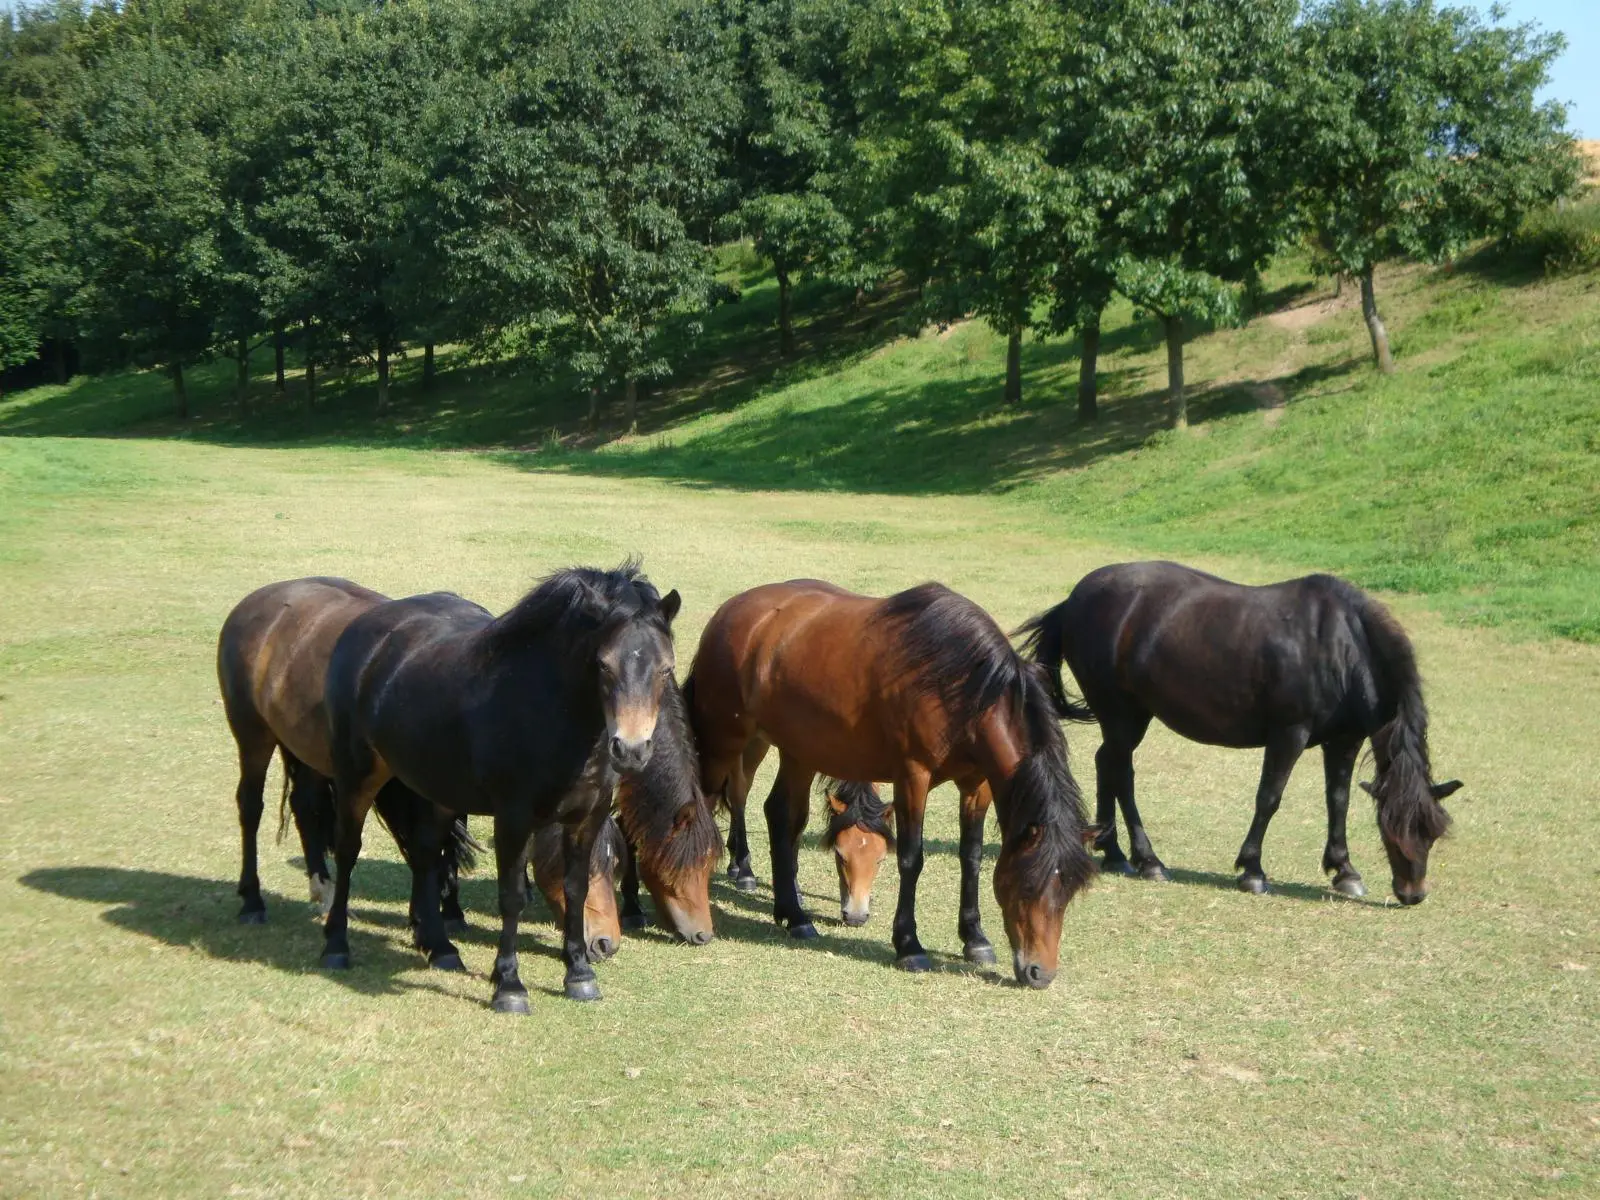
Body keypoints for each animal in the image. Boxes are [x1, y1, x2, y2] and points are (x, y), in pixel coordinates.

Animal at [217, 577, 626, 961]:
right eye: (594, 864)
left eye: (616, 863)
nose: (605, 943)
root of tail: (259, 600)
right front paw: (431, 924)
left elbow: (434, 846)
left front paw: (437, 918)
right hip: (254, 736)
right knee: (251, 806)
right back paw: (253, 901)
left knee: (305, 806)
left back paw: (323, 890)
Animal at [321, 564, 721, 1010]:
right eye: (603, 665)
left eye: (666, 669)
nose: (631, 749)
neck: (553, 716)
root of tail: (363, 626)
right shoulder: (513, 819)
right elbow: (512, 896)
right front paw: (509, 986)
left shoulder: (587, 816)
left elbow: (577, 889)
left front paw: (579, 975)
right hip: (357, 777)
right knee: (347, 850)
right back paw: (336, 946)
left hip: (437, 789)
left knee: (424, 854)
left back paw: (441, 949)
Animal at [686, 579, 1096, 989]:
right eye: (1027, 887)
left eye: (1069, 891)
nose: (1040, 973)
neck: (961, 683)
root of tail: (732, 610)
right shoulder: (913, 776)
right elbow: (912, 858)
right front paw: (909, 945)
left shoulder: (976, 785)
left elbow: (972, 856)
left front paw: (975, 938)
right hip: (726, 741)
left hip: (798, 750)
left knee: (782, 815)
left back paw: (794, 915)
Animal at [1017, 561, 1463, 903]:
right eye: (1393, 831)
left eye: (1432, 832)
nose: (1413, 893)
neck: (1340, 645)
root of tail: (1075, 600)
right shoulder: (1288, 734)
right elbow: (1269, 799)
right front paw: (1252, 870)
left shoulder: (1344, 740)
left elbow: (1338, 800)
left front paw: (1344, 870)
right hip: (1122, 715)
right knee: (1121, 773)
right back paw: (1147, 860)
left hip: (1129, 717)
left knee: (1107, 764)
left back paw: (1113, 852)